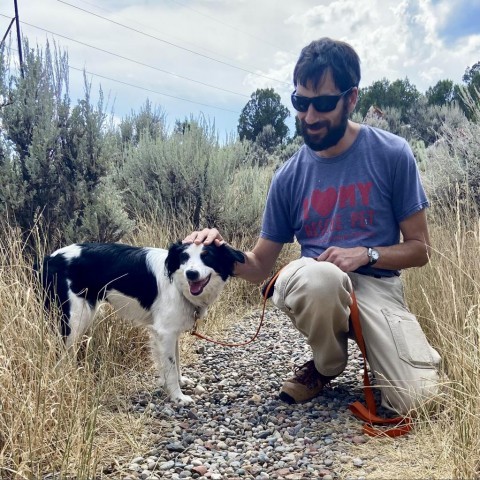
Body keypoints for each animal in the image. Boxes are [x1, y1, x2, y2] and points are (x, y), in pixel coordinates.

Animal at [39, 242, 246, 404]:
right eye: (184, 257)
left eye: (207, 256)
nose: (191, 274)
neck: (178, 285)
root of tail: (49, 258)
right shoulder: (165, 332)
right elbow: (170, 366)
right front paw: (178, 397)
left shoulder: (170, 331)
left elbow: (176, 361)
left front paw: (180, 382)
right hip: (73, 321)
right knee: (60, 361)